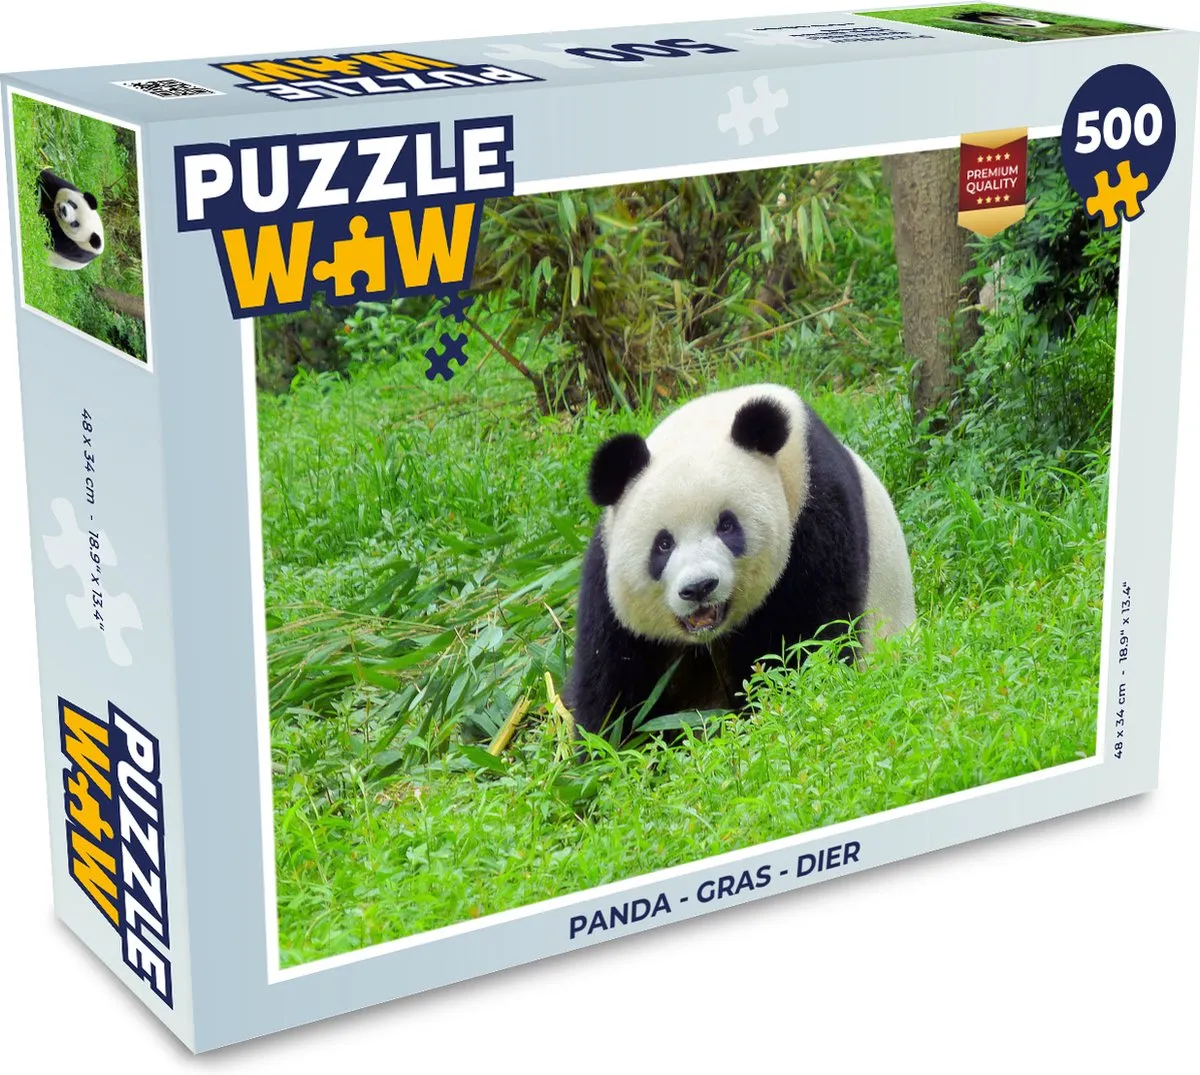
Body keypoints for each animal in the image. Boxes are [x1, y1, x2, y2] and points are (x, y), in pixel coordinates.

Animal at [566, 384, 915, 739]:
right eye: (663, 544)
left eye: (727, 525)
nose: (699, 587)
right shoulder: (607, 581)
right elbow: (613, 686)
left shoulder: (815, 512)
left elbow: (812, 637)